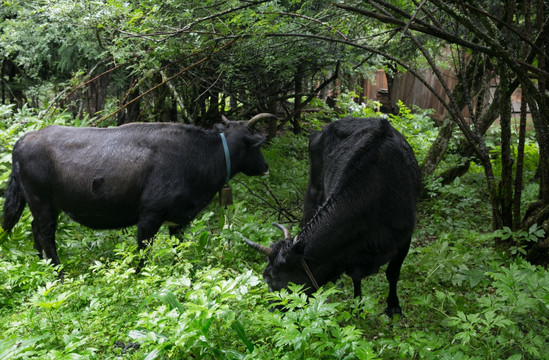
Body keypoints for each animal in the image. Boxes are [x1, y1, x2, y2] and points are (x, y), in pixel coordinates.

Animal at [0, 114, 274, 274]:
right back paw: (60, 275)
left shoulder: (178, 220)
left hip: (40, 205)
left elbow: (178, 251)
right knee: (46, 235)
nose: (266, 166)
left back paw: (42, 266)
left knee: (35, 231)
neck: (198, 155)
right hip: (41, 202)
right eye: (257, 145)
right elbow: (143, 251)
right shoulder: (150, 215)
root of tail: (24, 139)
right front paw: (139, 277)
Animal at [244, 116, 420, 316]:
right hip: (313, 190)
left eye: (271, 278)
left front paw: (393, 307)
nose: (272, 310)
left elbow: (392, 273)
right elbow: (356, 277)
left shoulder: (404, 237)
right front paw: (357, 306)